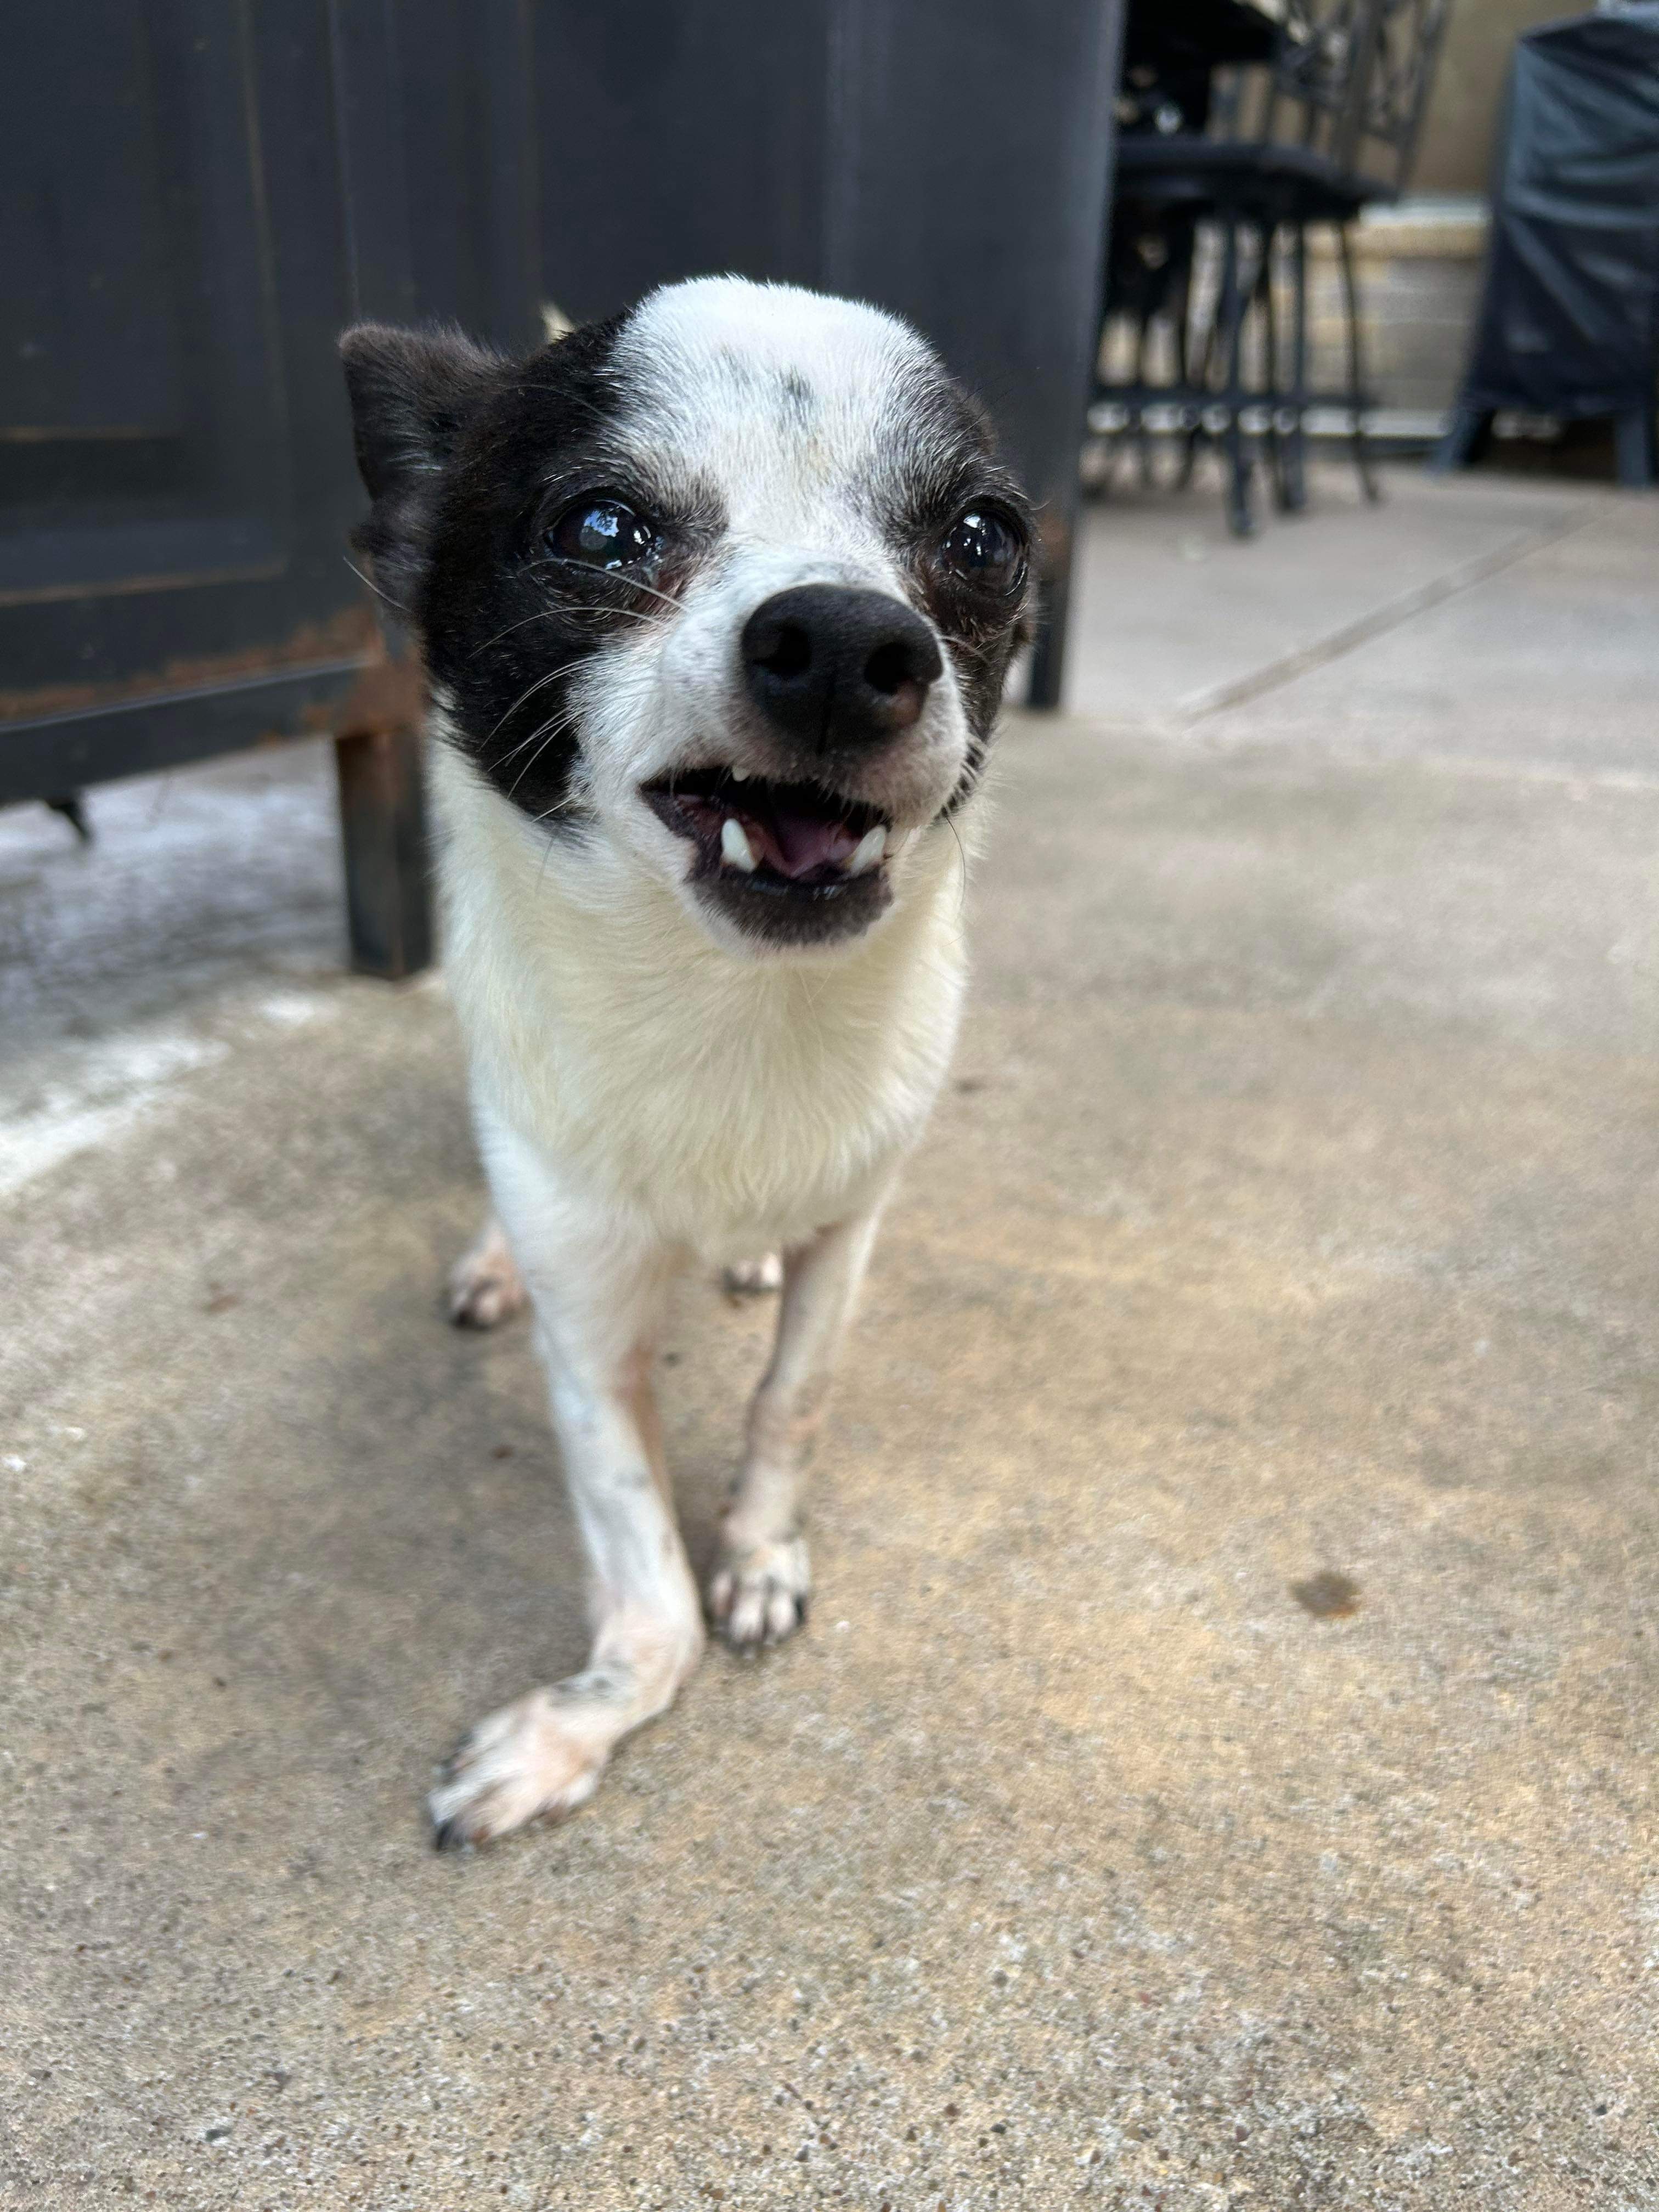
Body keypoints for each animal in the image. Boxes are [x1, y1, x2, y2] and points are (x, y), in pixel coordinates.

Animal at [345, 285, 1035, 1858]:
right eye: (600, 529)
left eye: (984, 537)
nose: (846, 638)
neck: (735, 1013)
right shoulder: (590, 1332)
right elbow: (641, 1575)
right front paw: (578, 1723)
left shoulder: (856, 1224)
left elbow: (794, 1398)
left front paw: (765, 1555)